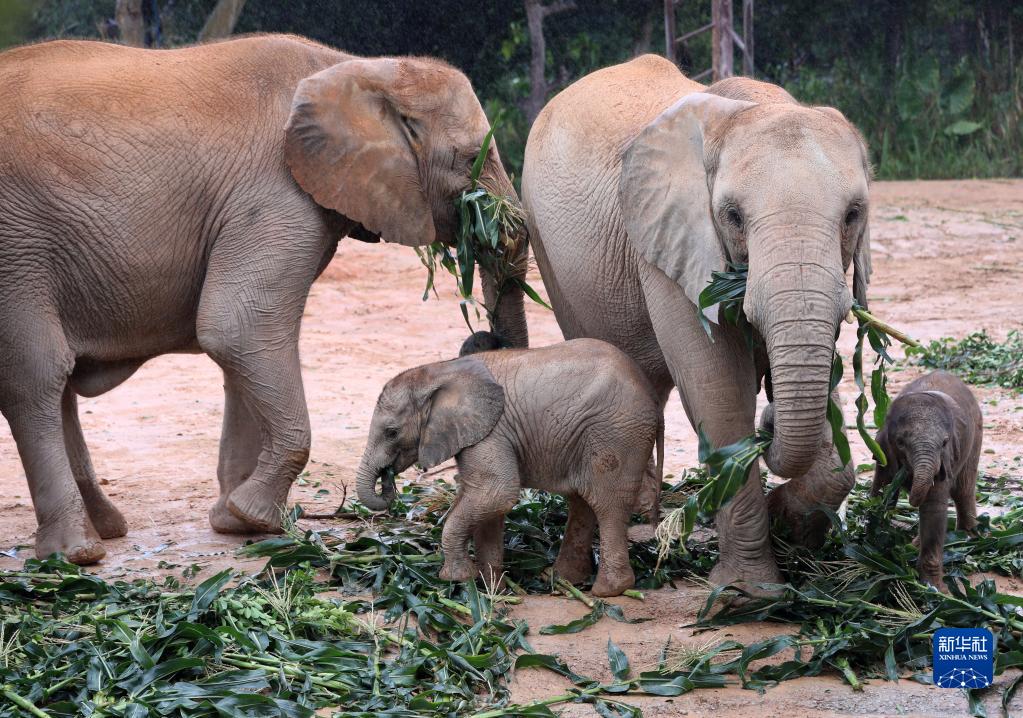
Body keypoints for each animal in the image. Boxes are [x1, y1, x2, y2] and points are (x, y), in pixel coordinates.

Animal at [0, 33, 527, 564]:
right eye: (472, 159)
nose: (481, 336)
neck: (357, 68)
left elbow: (240, 346)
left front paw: (233, 522)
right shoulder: (275, 192)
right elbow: (237, 328)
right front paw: (256, 517)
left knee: (57, 384)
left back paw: (104, 530)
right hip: (17, 244)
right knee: (38, 375)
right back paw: (75, 554)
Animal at [356, 339, 662, 597]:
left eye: (392, 432)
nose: (388, 479)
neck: (439, 371)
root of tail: (652, 396)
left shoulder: (491, 433)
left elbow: (497, 493)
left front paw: (457, 579)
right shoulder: (480, 435)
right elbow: (484, 502)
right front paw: (493, 589)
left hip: (616, 433)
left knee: (607, 504)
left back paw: (607, 591)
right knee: (582, 500)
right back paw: (560, 580)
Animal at [519, 56, 871, 593]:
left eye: (853, 214)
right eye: (733, 216)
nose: (769, 423)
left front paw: (790, 525)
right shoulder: (669, 242)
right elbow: (717, 389)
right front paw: (748, 594)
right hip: (545, 243)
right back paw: (577, 575)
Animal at [871, 372, 982, 589]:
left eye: (945, 443)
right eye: (900, 443)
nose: (912, 500)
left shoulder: (946, 458)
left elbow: (933, 509)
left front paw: (934, 589)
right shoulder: (883, 451)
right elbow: (880, 491)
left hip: (976, 436)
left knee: (963, 489)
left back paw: (968, 537)